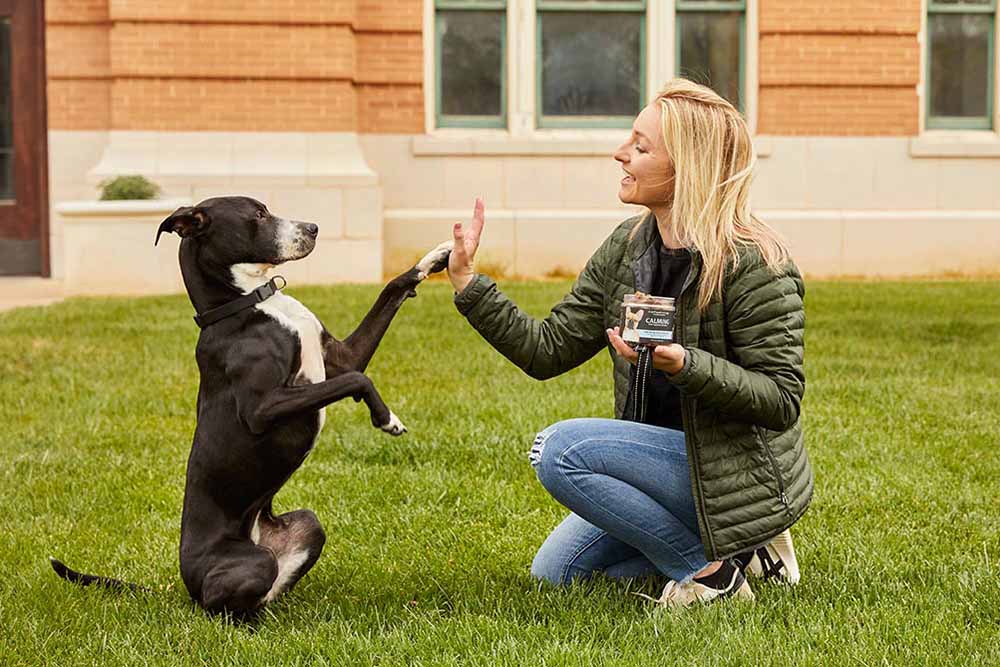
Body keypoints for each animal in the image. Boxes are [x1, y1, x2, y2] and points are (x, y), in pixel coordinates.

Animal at [50, 196, 450, 620]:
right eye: (257, 215)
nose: (313, 228)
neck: (248, 305)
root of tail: (187, 590)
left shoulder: (343, 356)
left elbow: (391, 291)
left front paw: (438, 256)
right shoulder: (264, 407)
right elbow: (355, 381)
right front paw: (386, 418)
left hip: (307, 526)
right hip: (250, 564)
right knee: (223, 607)